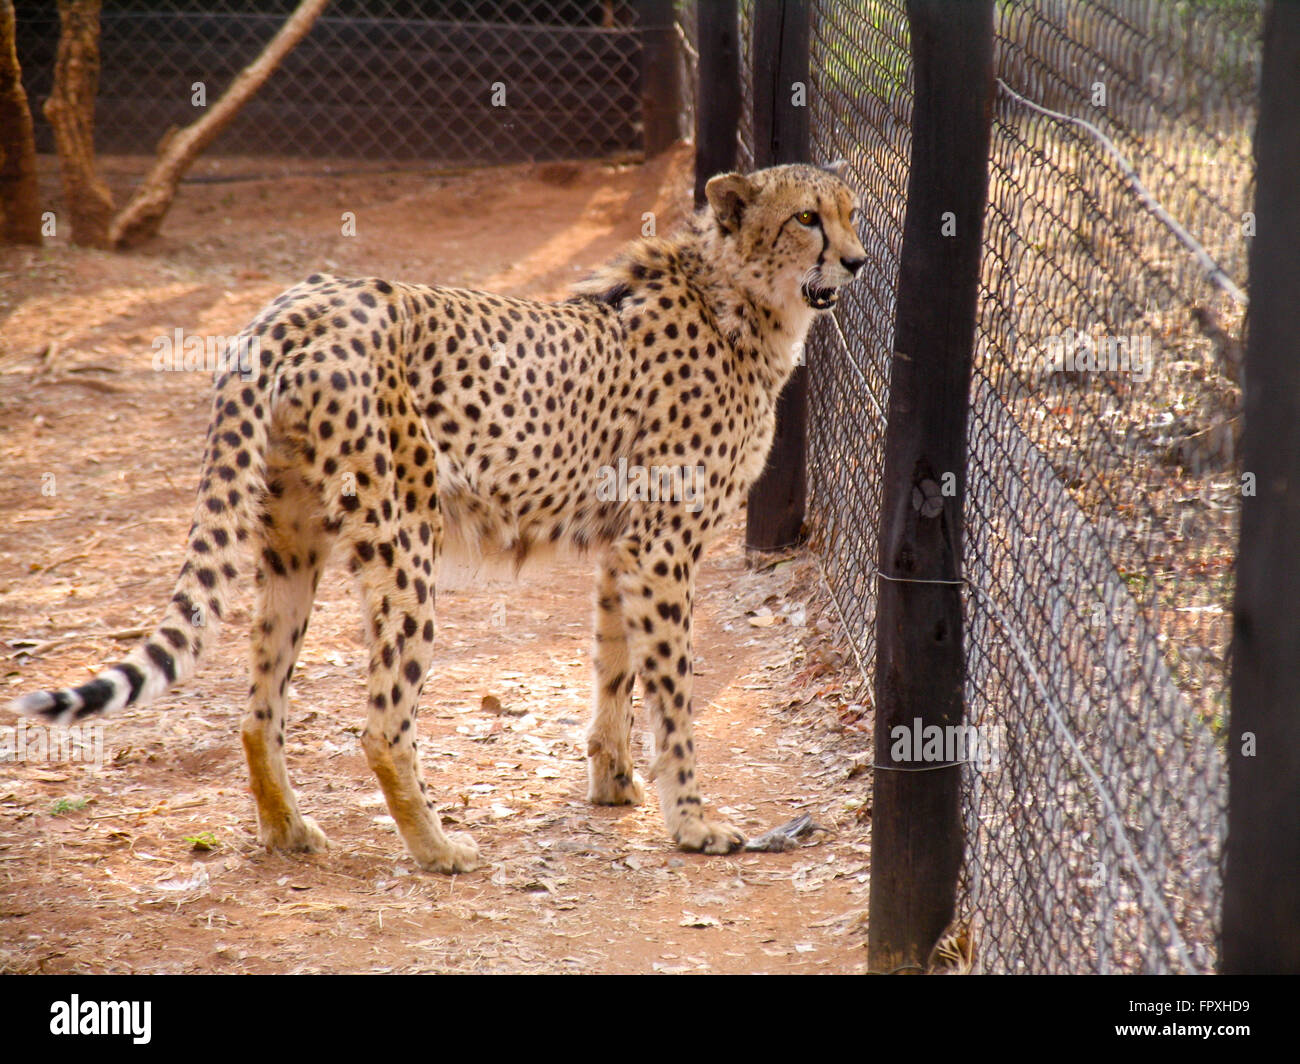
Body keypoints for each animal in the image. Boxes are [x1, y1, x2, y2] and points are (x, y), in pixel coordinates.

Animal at [10, 162, 867, 874]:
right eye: (807, 218)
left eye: (852, 213)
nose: (858, 262)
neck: (738, 300)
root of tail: (295, 304)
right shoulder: (660, 546)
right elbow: (673, 695)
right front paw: (691, 822)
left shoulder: (622, 546)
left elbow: (614, 669)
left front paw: (614, 782)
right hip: (402, 538)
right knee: (383, 724)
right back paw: (437, 847)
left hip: (292, 542)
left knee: (259, 711)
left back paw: (290, 831)